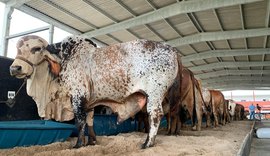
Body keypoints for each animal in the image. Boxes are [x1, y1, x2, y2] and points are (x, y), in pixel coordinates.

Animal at [10, 35, 179, 149]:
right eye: (17, 48)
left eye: (36, 49)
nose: (15, 68)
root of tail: (172, 49)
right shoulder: (89, 101)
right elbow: (90, 120)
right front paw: (91, 141)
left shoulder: (78, 96)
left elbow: (80, 122)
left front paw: (78, 144)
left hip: (155, 94)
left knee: (155, 115)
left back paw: (147, 143)